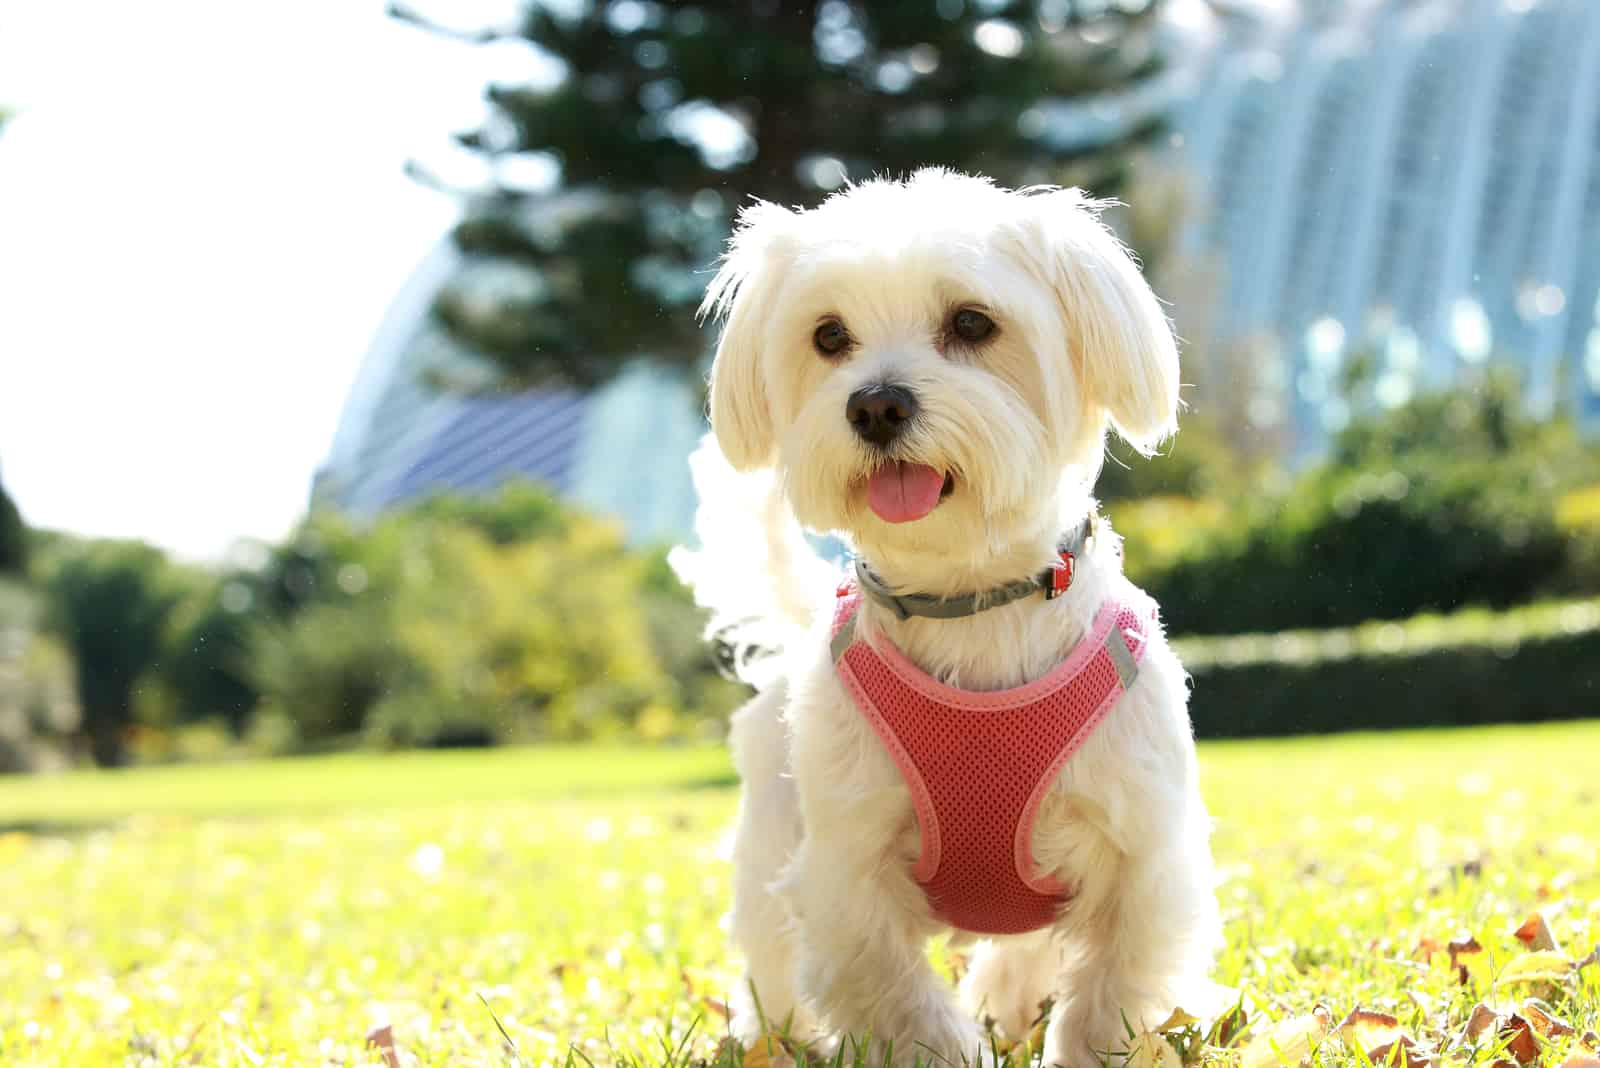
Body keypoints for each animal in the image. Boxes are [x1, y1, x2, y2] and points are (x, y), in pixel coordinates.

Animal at [668, 168, 1216, 1068]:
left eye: (971, 323)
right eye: (829, 336)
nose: (876, 406)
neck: (969, 599)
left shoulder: (1140, 847)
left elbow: (1112, 989)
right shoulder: (846, 865)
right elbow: (892, 990)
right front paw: (946, 1045)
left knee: (1024, 953)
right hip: (771, 844)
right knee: (774, 960)